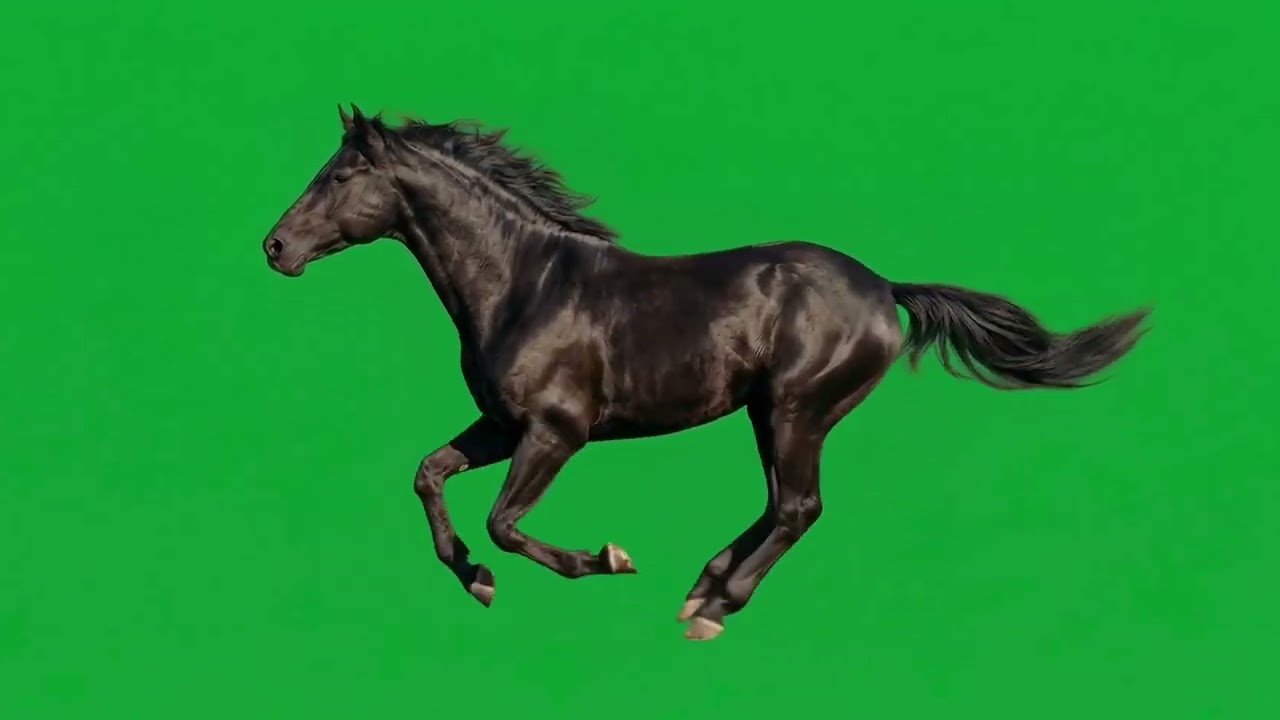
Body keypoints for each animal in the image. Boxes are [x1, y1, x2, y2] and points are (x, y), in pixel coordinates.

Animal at [261, 104, 1150, 640]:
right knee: (781, 505)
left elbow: (505, 522)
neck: (523, 284)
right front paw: (473, 578)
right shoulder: (501, 425)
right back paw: (704, 584)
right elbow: (429, 475)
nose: (274, 247)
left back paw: (712, 608)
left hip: (798, 408)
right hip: (767, 412)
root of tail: (883, 287)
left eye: (340, 176)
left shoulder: (557, 430)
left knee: (798, 507)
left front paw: (605, 558)